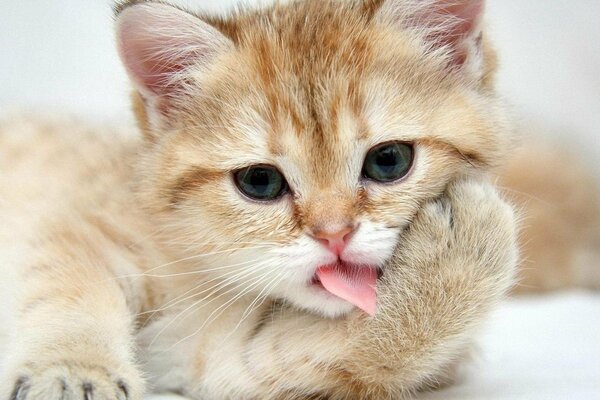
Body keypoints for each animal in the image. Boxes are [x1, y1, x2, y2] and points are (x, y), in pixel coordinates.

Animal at [3, 0, 592, 398]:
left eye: (389, 161)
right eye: (259, 182)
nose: (334, 235)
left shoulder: (201, 352)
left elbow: (315, 357)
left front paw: (455, 265)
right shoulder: (77, 228)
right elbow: (70, 294)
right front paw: (73, 370)